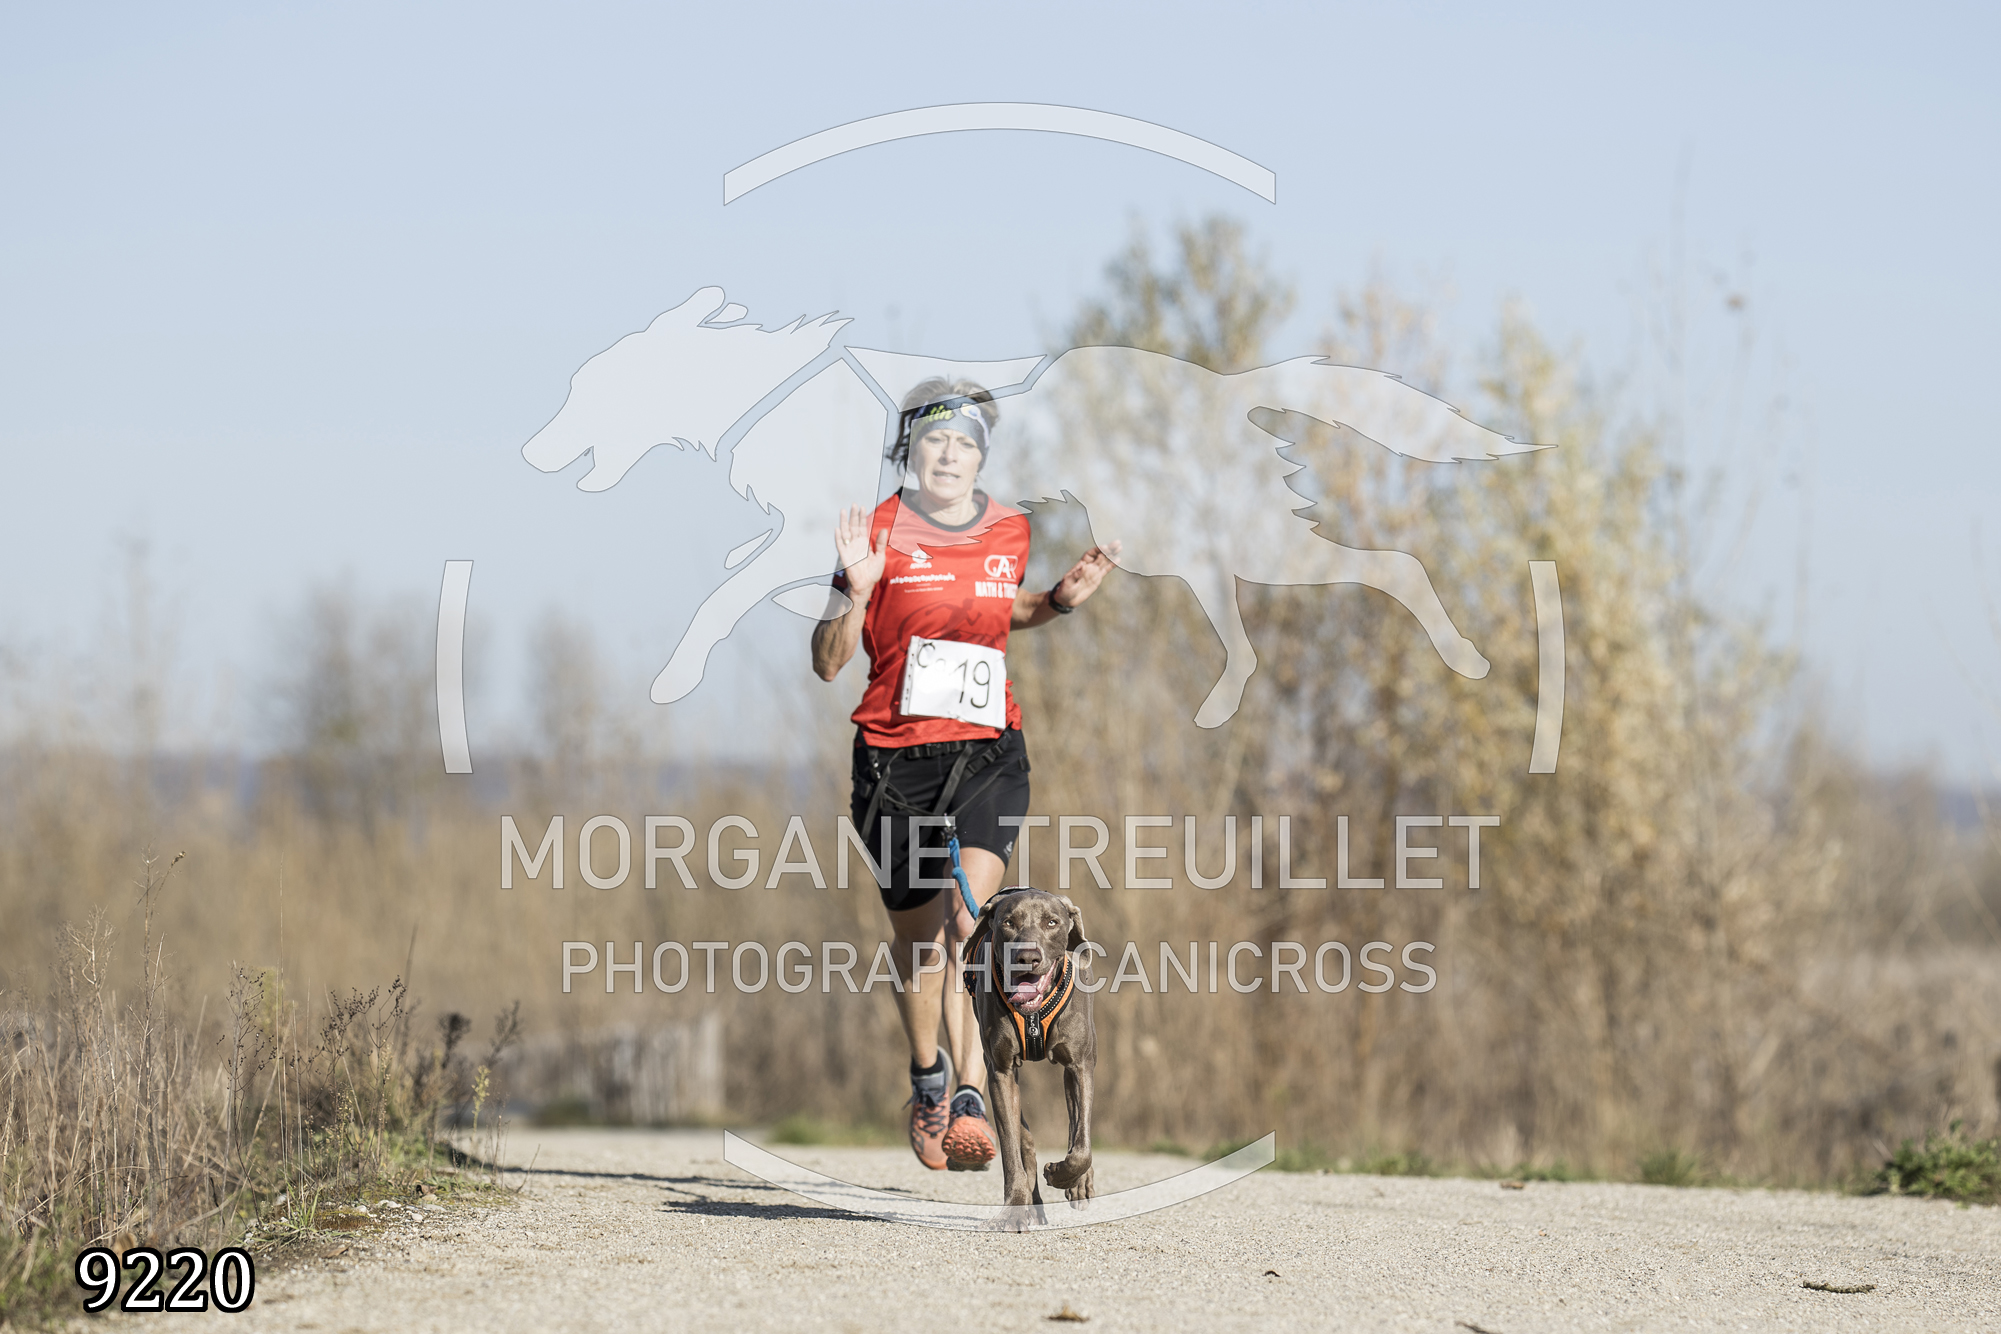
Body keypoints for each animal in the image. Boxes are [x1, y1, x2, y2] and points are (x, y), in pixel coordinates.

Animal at [964, 887, 1096, 1211]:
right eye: (1009, 922)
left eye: (1052, 922)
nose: (1027, 957)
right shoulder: (1000, 1071)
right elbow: (1011, 1148)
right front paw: (1015, 1205)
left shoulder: (1080, 1064)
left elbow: (1082, 1146)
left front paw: (1064, 1175)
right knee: (1023, 1137)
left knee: (1077, 1124)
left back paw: (1079, 1182)